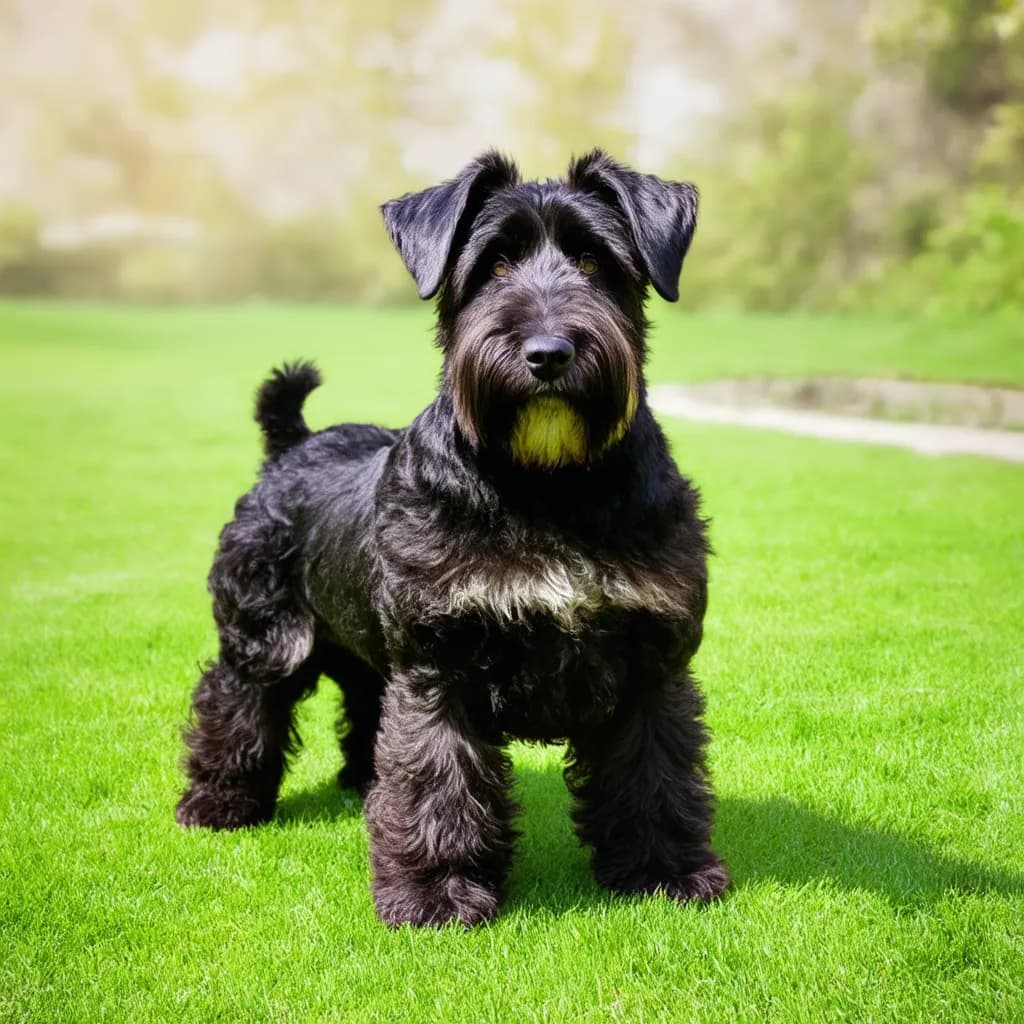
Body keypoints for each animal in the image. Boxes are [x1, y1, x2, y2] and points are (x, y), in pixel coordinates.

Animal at [180, 151, 733, 929]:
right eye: (492, 265)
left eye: (595, 260)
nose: (548, 353)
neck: (546, 485)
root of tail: (292, 444)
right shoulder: (440, 666)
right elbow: (437, 784)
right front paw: (435, 892)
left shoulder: (651, 665)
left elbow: (655, 779)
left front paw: (665, 872)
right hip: (263, 640)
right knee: (233, 704)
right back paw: (218, 802)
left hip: (365, 652)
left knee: (363, 708)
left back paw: (359, 782)